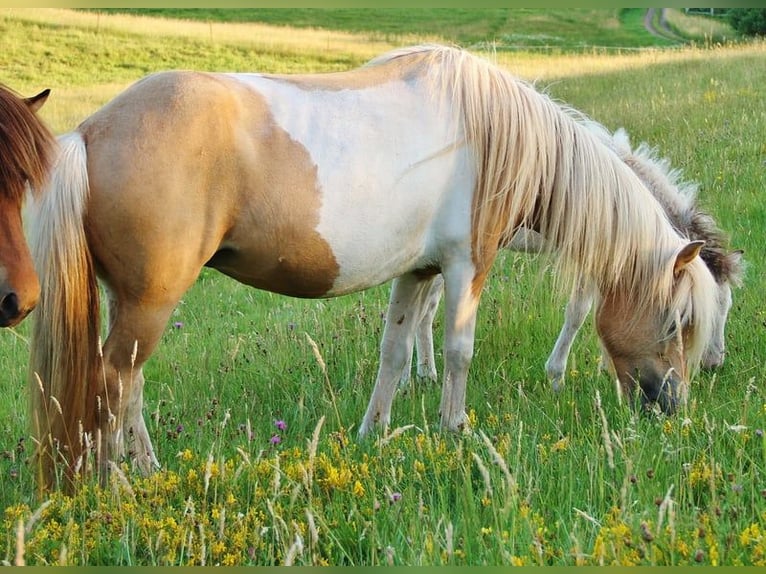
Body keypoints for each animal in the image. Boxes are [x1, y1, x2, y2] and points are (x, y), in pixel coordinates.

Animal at [402, 126, 744, 393]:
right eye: (705, 311)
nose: (715, 363)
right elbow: (578, 312)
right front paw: (557, 377)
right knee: (424, 311)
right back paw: (415, 378)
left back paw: (422, 374)